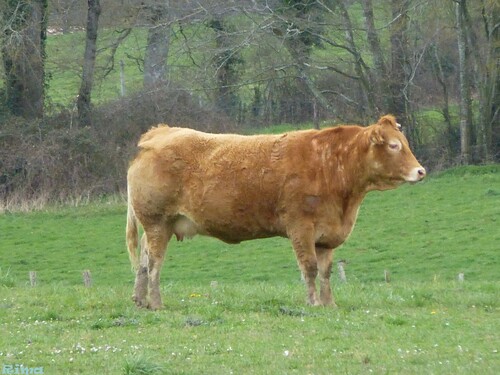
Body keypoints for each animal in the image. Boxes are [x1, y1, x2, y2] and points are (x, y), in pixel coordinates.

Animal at [126, 116, 426, 310]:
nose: (421, 171)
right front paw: (313, 303)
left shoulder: (326, 235)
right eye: (394, 145)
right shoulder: (301, 228)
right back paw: (156, 303)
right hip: (157, 223)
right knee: (154, 263)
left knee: (143, 260)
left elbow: (326, 272)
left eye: (404, 142)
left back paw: (140, 300)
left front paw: (329, 303)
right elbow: (310, 268)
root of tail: (159, 133)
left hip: (159, 226)